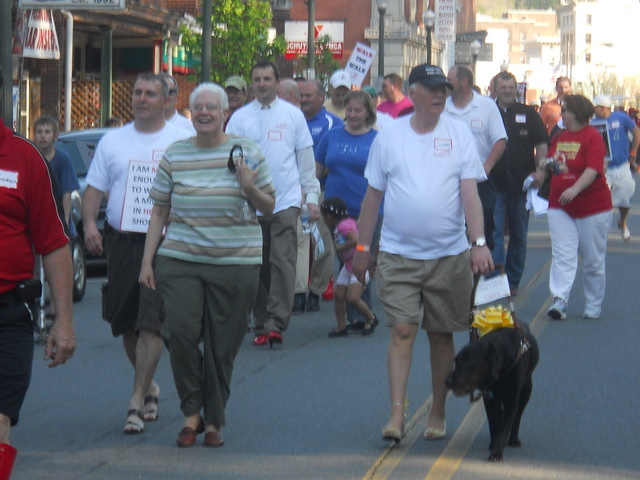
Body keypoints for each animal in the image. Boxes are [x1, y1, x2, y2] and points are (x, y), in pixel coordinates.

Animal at [444, 322, 540, 462]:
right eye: (455, 361)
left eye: (467, 365)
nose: (447, 381)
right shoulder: (489, 399)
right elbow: (493, 423)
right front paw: (493, 444)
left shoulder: (512, 401)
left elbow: (505, 427)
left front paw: (497, 453)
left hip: (526, 390)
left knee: (517, 416)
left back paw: (514, 439)